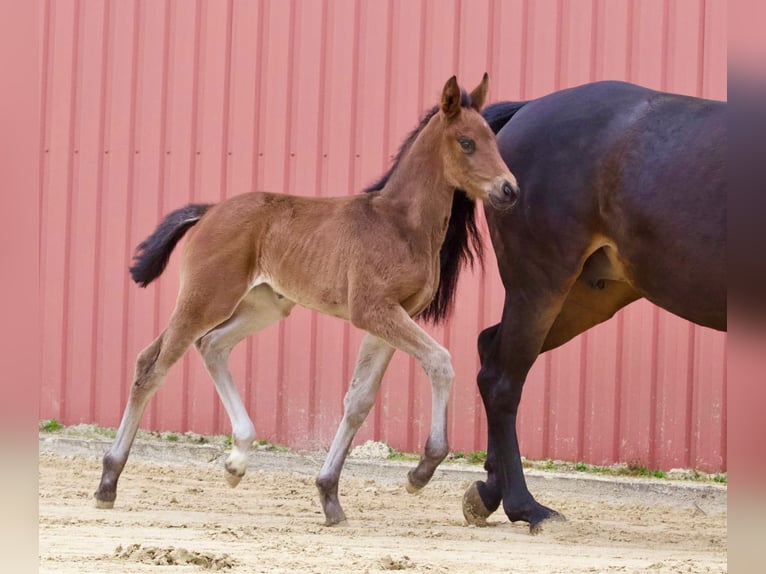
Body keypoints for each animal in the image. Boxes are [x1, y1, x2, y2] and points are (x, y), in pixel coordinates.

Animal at [93, 75, 520, 528]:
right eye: (466, 142)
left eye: (492, 138)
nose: (509, 189)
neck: (400, 225)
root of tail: (208, 212)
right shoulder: (374, 311)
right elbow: (440, 361)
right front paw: (420, 472)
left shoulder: (392, 317)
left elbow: (359, 400)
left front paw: (329, 495)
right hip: (206, 298)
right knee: (152, 365)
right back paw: (108, 482)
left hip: (264, 305)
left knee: (211, 345)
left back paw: (237, 460)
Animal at [460, 81, 728, 536]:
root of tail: (527, 110)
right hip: (540, 285)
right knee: (501, 382)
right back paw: (528, 508)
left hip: (586, 298)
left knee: (489, 348)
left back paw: (488, 493)